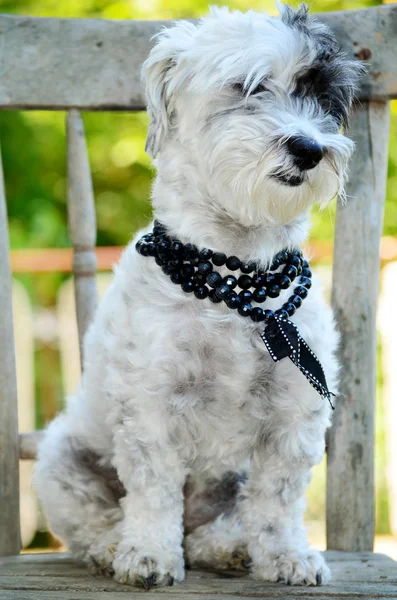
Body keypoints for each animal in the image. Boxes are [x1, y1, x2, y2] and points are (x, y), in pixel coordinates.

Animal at [34, 2, 362, 588]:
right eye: (249, 86)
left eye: (322, 100)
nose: (309, 148)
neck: (238, 277)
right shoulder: (150, 403)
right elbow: (153, 492)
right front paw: (147, 555)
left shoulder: (295, 411)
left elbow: (278, 499)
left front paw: (287, 555)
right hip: (62, 460)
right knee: (94, 521)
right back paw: (113, 546)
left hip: (227, 482)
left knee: (223, 520)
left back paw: (225, 547)